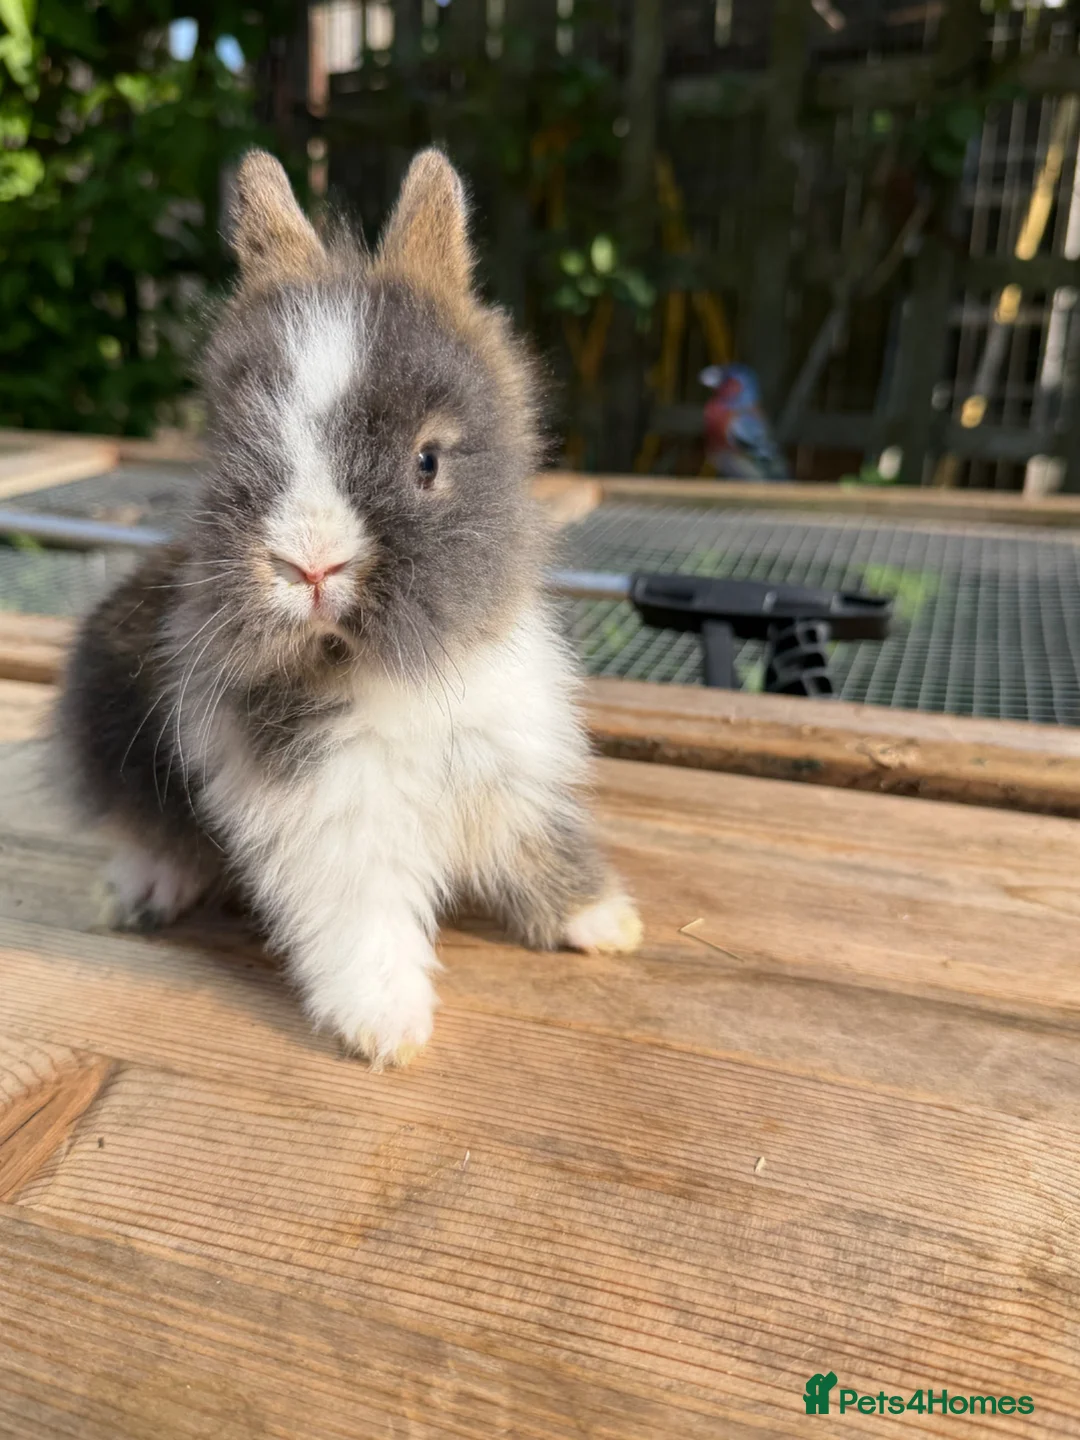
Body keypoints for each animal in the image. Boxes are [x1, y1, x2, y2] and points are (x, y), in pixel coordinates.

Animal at [53, 147, 643, 1068]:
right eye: (237, 453)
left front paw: (603, 922)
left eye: (427, 460)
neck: (392, 670)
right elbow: (362, 921)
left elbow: (540, 847)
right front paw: (388, 1031)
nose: (311, 563)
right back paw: (143, 892)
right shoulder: (329, 815)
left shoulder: (509, 770)